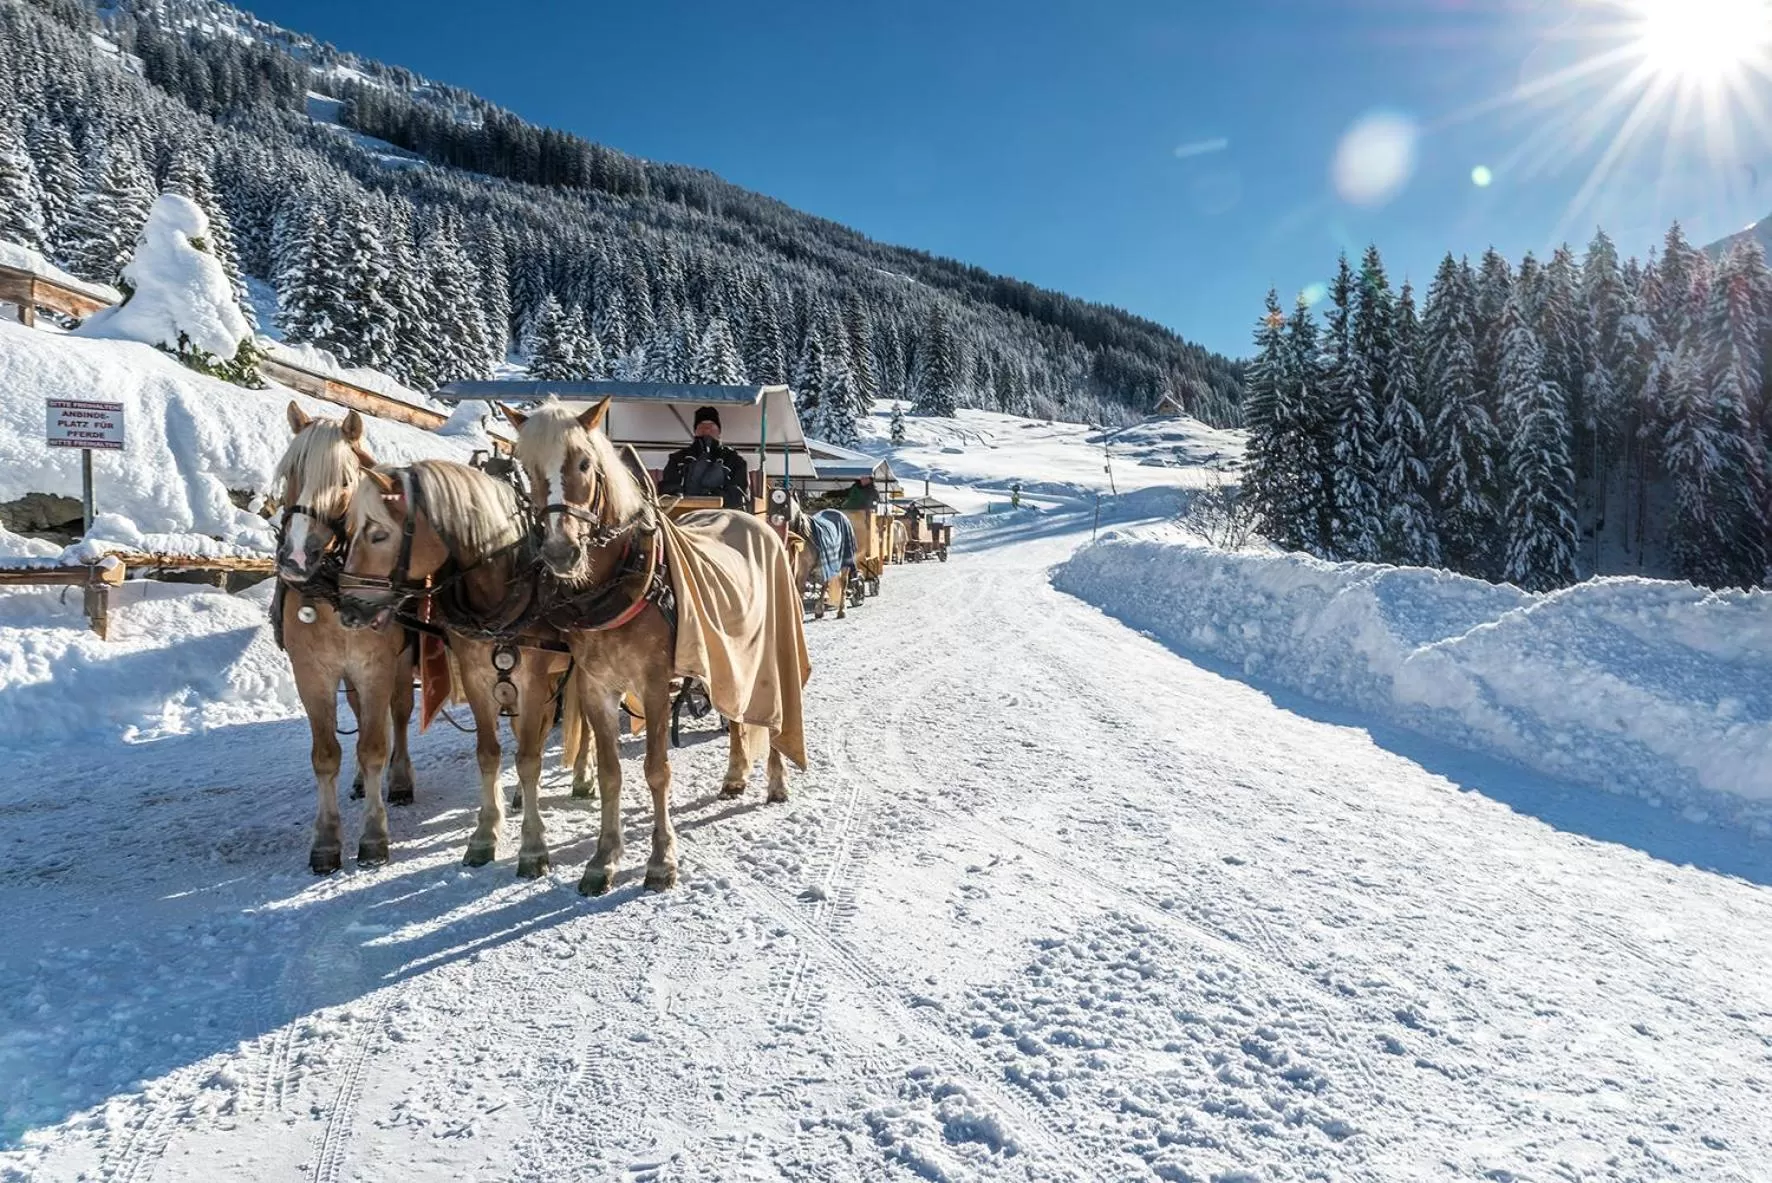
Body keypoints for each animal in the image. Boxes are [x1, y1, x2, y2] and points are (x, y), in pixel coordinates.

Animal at [273, 404, 417, 873]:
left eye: (343, 481)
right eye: (291, 472)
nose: (297, 558)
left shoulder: (377, 667)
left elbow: (373, 746)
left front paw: (374, 836)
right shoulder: (312, 673)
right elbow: (325, 755)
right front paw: (326, 840)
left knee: (399, 716)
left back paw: (400, 778)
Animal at [335, 458, 582, 880]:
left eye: (379, 534)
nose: (347, 609)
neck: (501, 587)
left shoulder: (532, 681)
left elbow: (529, 759)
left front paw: (533, 847)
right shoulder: (478, 677)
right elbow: (490, 754)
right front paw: (485, 834)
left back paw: (586, 779)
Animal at [503, 398, 805, 895]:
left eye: (584, 463)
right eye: (526, 468)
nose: (561, 553)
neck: (618, 580)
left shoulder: (654, 683)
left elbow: (656, 770)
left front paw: (661, 861)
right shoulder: (595, 686)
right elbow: (611, 773)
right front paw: (603, 859)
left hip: (771, 651)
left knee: (772, 713)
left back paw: (776, 782)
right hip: (730, 657)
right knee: (738, 714)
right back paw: (735, 775)